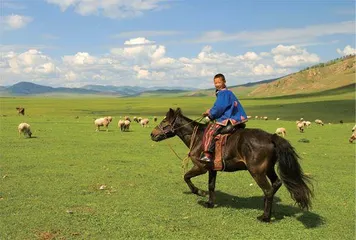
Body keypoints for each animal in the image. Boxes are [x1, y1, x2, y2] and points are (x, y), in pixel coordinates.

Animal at [152, 108, 312, 221]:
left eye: (164, 122)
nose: (152, 134)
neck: (197, 137)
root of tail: (271, 137)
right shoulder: (212, 169)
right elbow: (211, 185)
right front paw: (210, 203)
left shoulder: (200, 167)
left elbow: (186, 177)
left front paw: (199, 192)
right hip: (268, 169)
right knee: (276, 183)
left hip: (257, 172)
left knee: (267, 190)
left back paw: (265, 217)